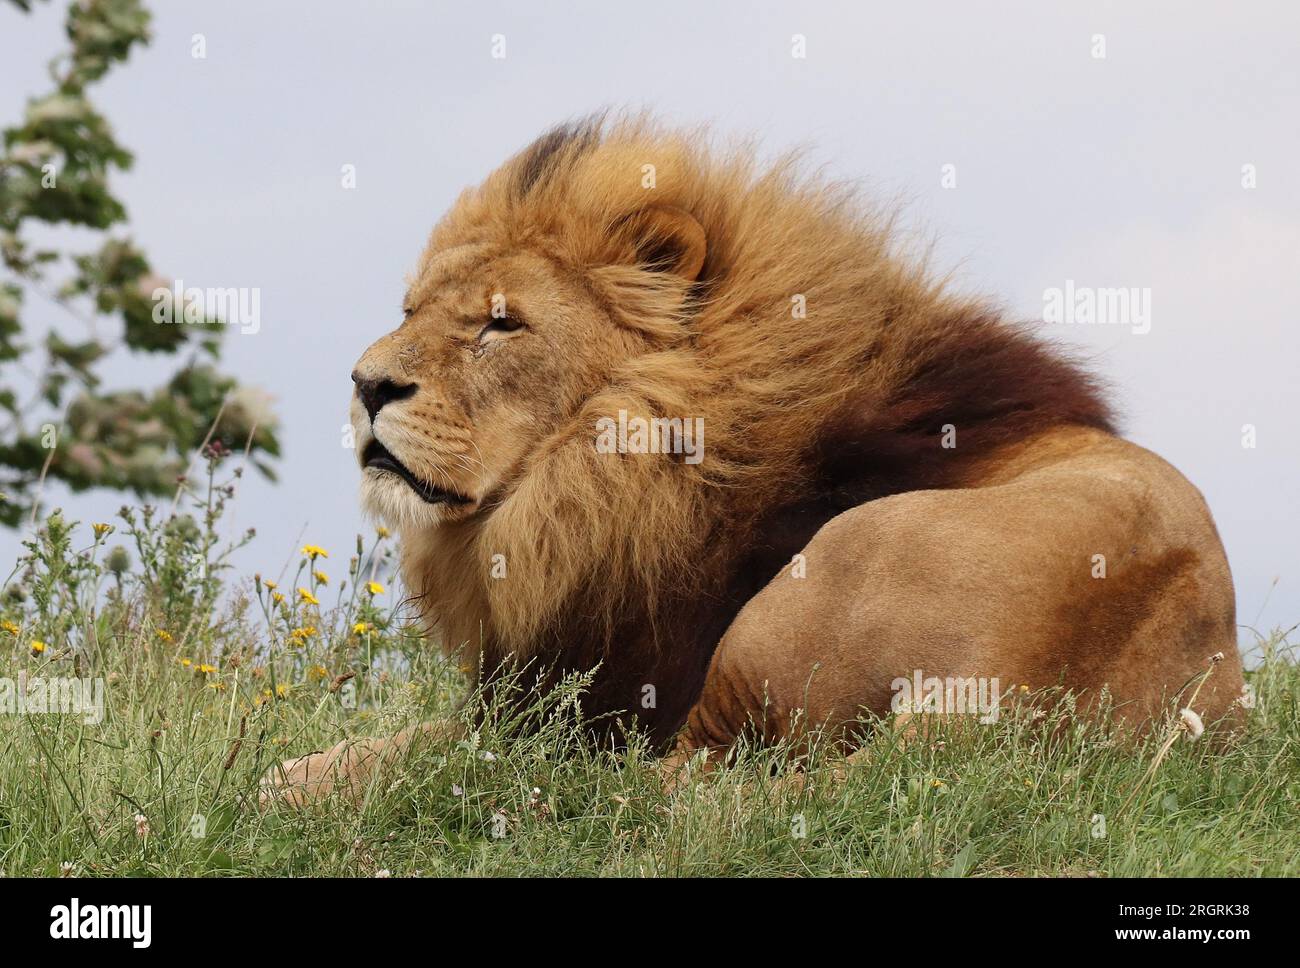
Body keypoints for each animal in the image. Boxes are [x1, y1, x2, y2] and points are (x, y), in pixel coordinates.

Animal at [258, 114, 1242, 805]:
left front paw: (292, 786)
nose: (366, 385)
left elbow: (425, 744)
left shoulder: (595, 683)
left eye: (503, 323)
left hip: (828, 575)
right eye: (411, 309)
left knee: (649, 780)